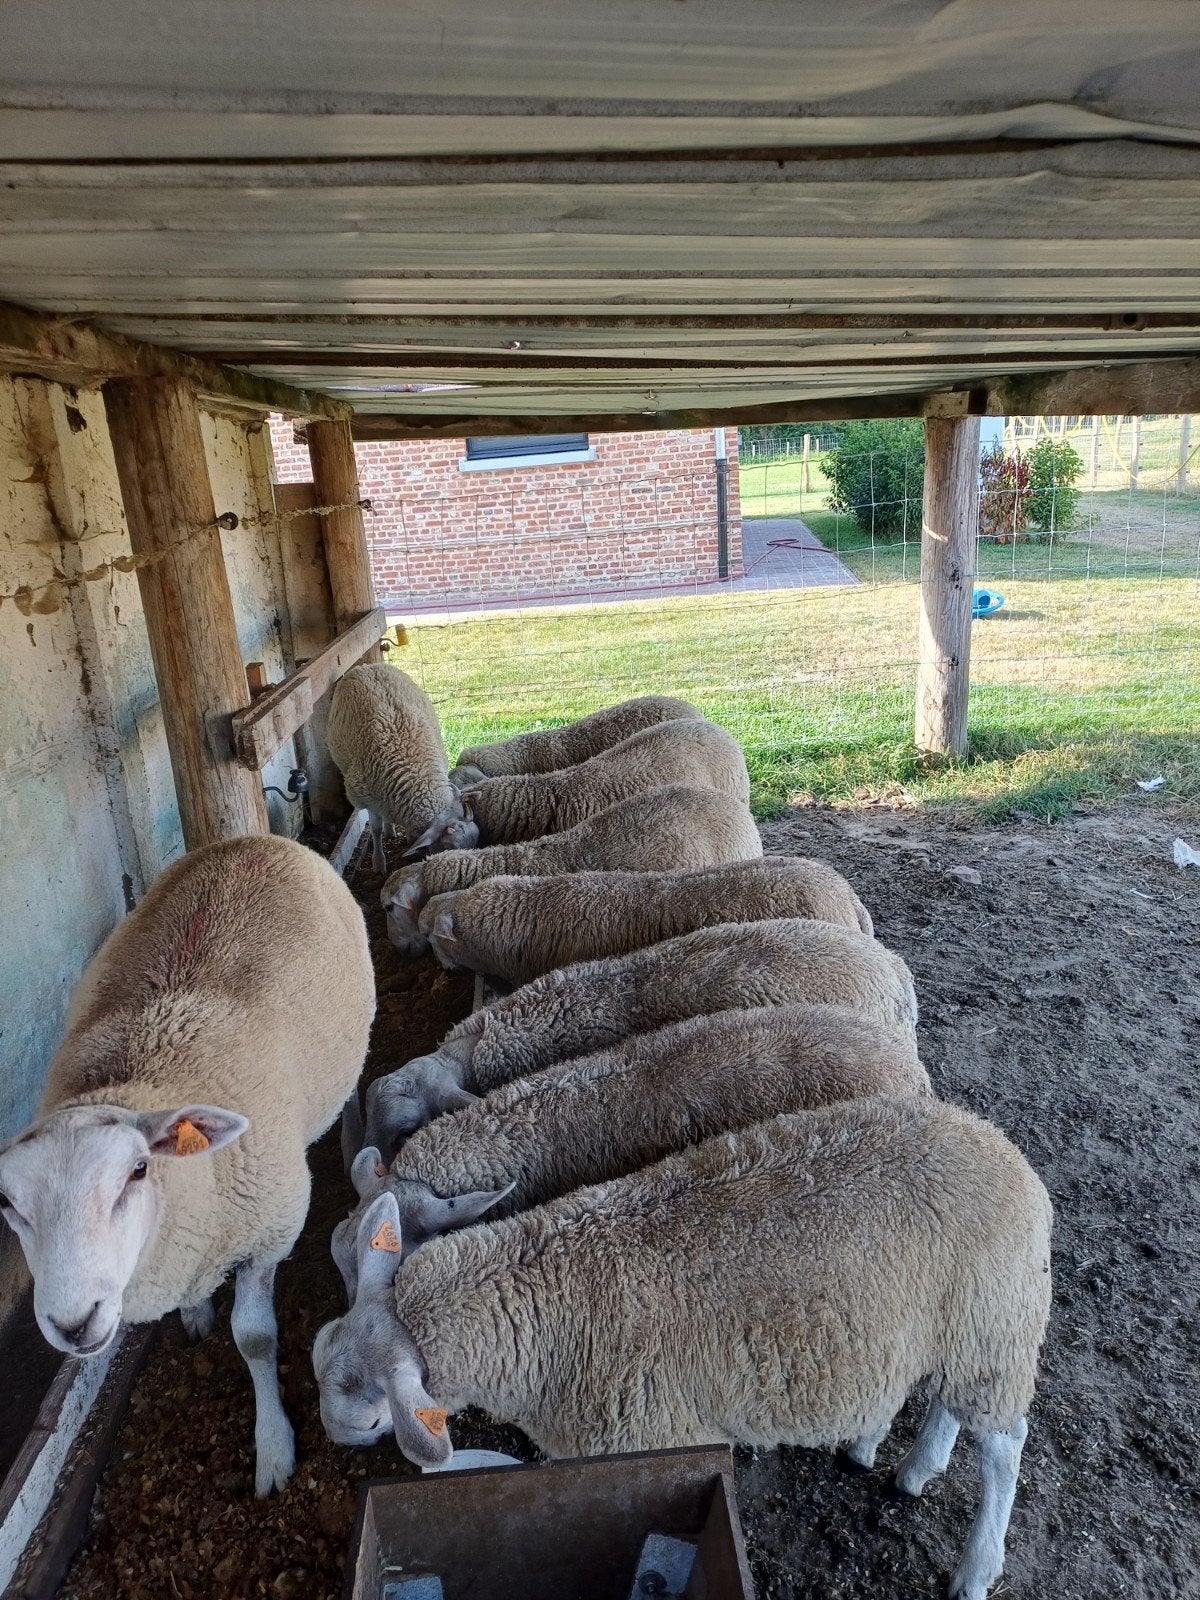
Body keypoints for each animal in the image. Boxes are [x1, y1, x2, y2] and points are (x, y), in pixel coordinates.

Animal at [0, 836, 375, 1497]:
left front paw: (273, 1448)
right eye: (8, 1203)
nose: (72, 1324)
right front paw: (196, 1313)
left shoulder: (269, 1229)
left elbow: (255, 1339)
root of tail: (251, 841)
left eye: (137, 1171)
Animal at [314, 1094, 1053, 1600]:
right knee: (948, 1405)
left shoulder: (644, 1439)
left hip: (998, 1320)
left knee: (1004, 1444)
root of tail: (999, 1144)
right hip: (964, 1329)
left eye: (374, 1421)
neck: (546, 1301)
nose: (335, 1441)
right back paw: (916, 1467)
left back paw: (975, 1568)